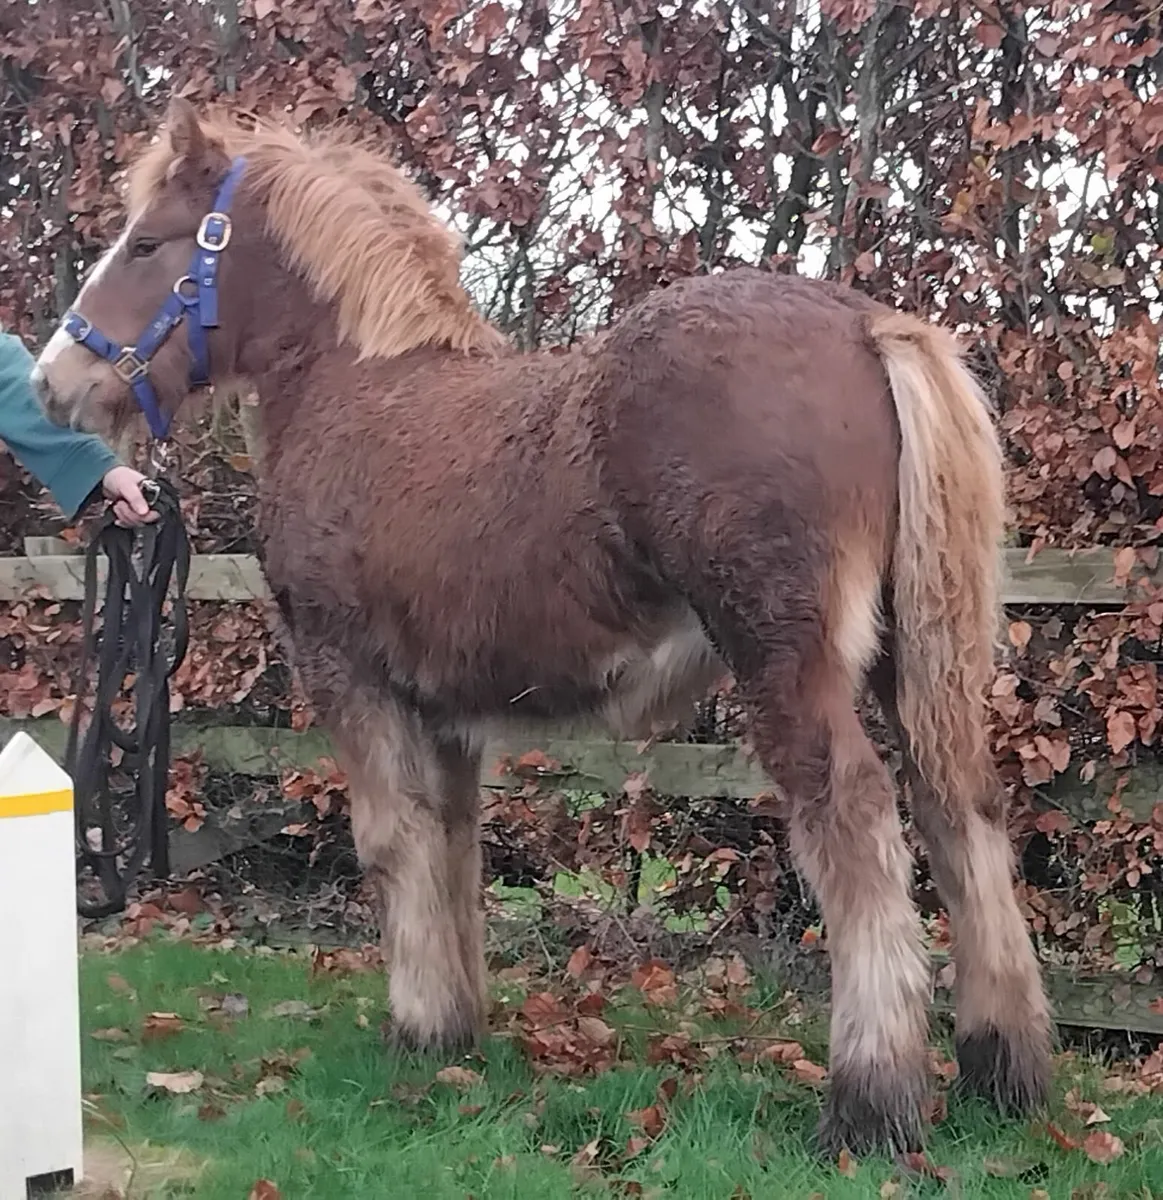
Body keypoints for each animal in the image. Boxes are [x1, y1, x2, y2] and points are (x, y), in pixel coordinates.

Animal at [31, 96, 1052, 1157]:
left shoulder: (347, 674)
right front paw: (454, 1031)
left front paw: (414, 1031)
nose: (52, 384)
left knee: (853, 816)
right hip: (913, 660)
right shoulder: (444, 709)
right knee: (957, 806)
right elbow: (451, 846)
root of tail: (866, 324)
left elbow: (387, 842)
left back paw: (869, 1103)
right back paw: (1001, 1072)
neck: (354, 386)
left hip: (787, 660)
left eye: (147, 243)